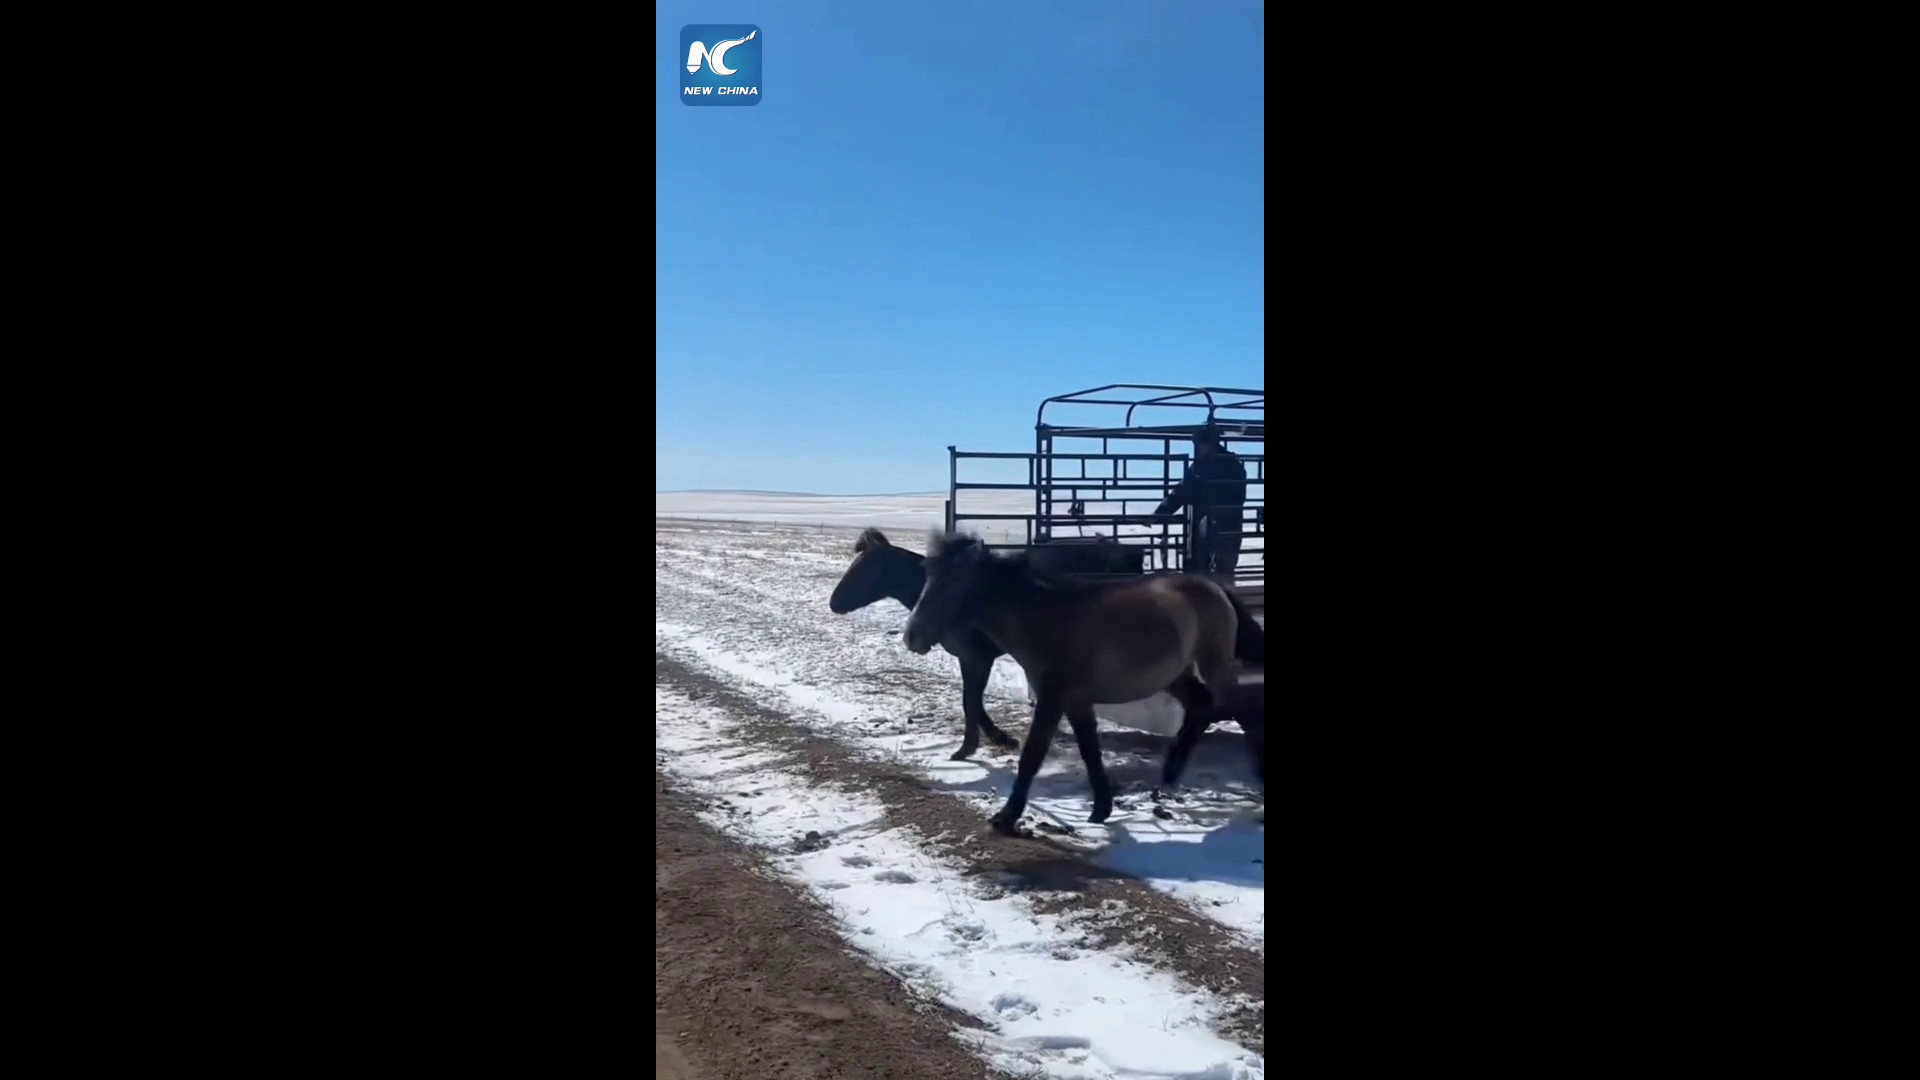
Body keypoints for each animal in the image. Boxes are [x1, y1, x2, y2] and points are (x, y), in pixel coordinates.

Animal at [828, 528, 1146, 760]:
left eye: (863, 568)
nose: (833, 603)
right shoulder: (966, 658)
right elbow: (971, 700)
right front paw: (986, 741)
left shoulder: (978, 657)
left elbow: (971, 700)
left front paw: (983, 743)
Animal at [902, 530, 1259, 835]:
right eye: (928, 577)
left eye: (950, 584)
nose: (911, 637)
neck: (1047, 621)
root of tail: (1216, 588)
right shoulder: (1076, 702)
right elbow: (1090, 752)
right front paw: (1101, 809)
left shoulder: (1052, 699)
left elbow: (1033, 755)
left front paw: (1006, 816)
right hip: (1175, 675)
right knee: (1201, 706)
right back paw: (1170, 772)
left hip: (1213, 666)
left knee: (1239, 708)